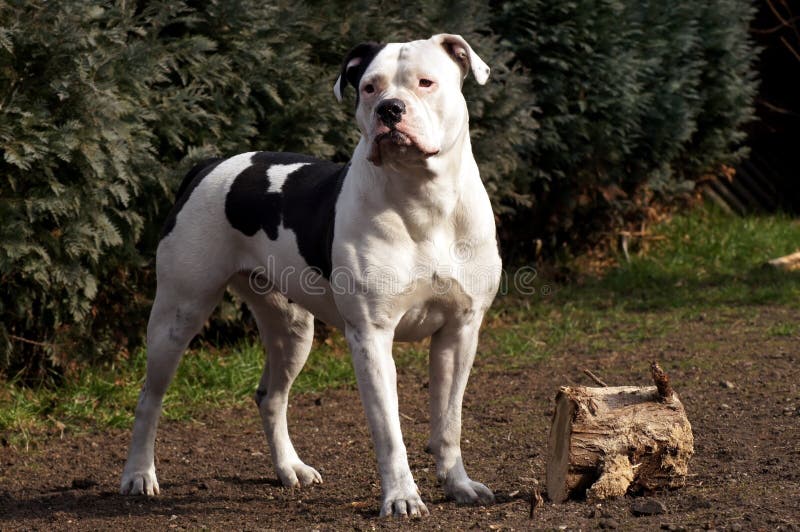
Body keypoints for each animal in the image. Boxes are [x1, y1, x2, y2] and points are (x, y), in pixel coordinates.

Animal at [119, 32, 500, 516]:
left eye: (425, 82)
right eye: (369, 87)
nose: (389, 110)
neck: (423, 198)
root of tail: (208, 166)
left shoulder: (459, 331)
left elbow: (450, 421)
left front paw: (458, 484)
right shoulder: (372, 337)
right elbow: (389, 432)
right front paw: (401, 496)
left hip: (292, 328)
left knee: (271, 396)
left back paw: (290, 469)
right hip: (177, 313)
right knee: (149, 398)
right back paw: (138, 474)